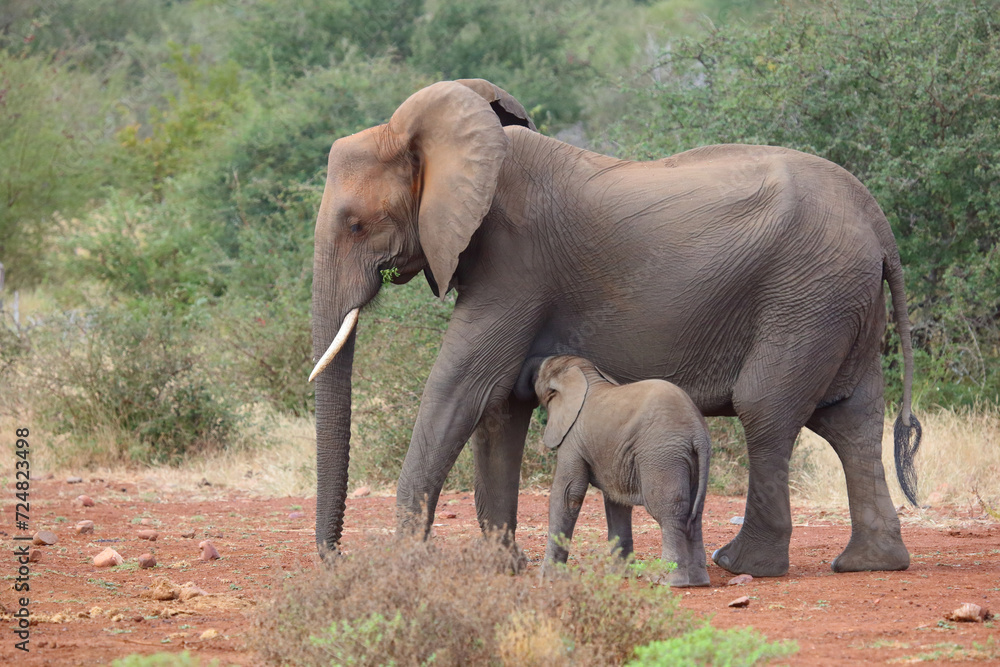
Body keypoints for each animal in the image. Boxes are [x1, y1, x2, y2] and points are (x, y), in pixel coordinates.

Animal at [533, 355, 711, 587]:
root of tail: (697, 431)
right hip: (692, 459)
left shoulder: (572, 438)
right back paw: (700, 582)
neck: (584, 373)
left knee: (670, 512)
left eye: (539, 376)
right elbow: (617, 501)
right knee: (694, 514)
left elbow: (568, 494)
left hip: (662, 455)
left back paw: (669, 581)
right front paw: (622, 575)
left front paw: (547, 576)